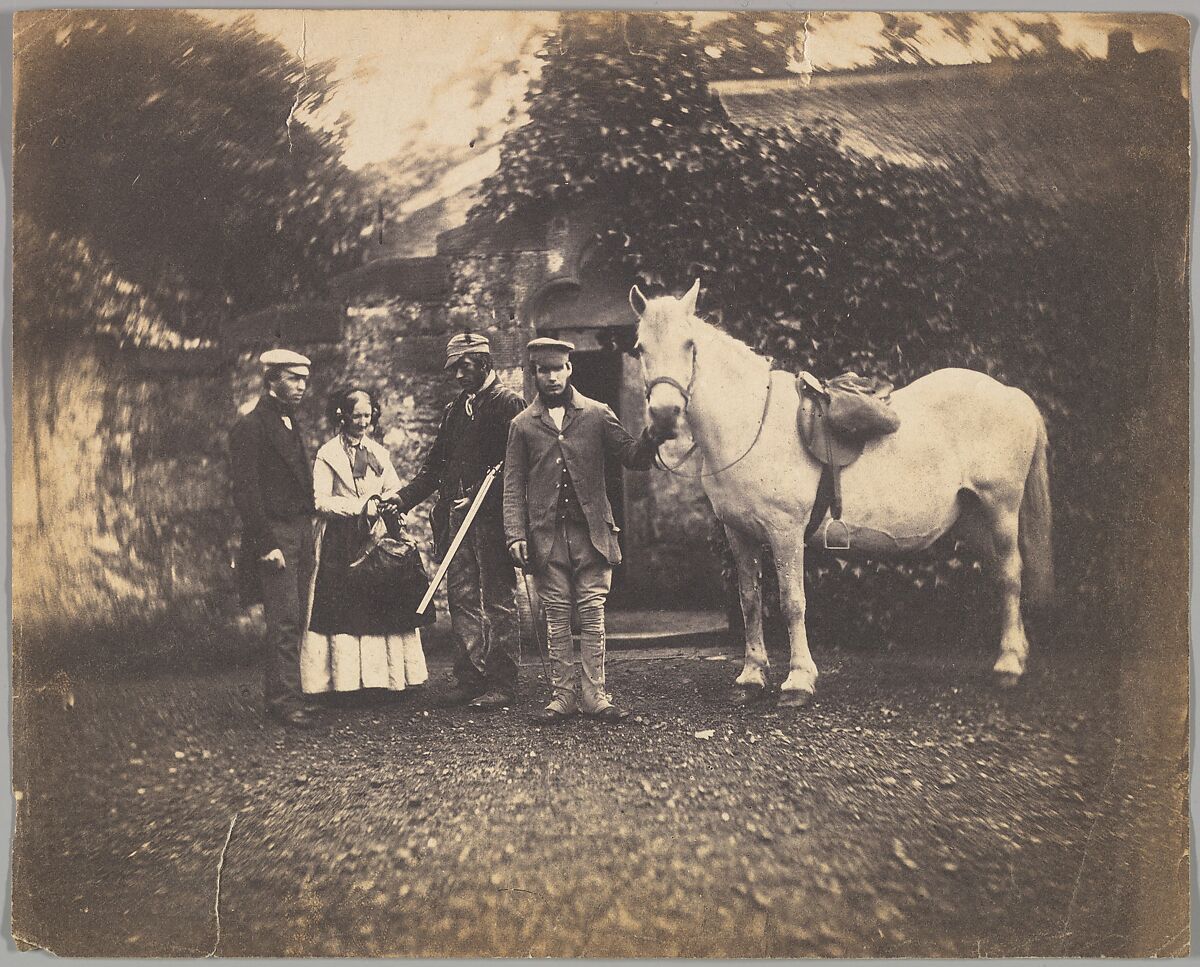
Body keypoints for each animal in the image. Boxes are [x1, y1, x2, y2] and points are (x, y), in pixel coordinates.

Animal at [633, 275, 1056, 710]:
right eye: (639, 348)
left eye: (690, 344)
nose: (664, 416)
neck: (750, 424)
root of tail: (1011, 394)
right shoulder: (740, 534)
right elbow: (750, 601)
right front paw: (751, 677)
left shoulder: (785, 533)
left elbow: (792, 603)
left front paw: (798, 681)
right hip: (973, 517)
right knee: (1000, 574)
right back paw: (1014, 653)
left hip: (1000, 508)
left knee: (1011, 574)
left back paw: (1008, 666)